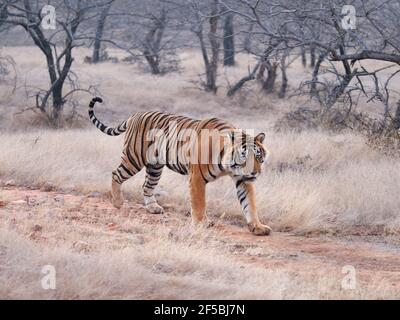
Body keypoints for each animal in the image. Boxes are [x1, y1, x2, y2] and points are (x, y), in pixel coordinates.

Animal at [88, 97, 272, 235]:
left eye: (259, 157)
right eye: (244, 156)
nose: (255, 173)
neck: (228, 166)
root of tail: (136, 114)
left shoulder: (242, 179)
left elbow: (250, 204)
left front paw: (257, 227)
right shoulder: (197, 178)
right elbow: (199, 203)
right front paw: (201, 223)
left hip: (155, 167)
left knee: (146, 185)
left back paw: (153, 207)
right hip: (134, 158)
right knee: (116, 173)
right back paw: (118, 202)